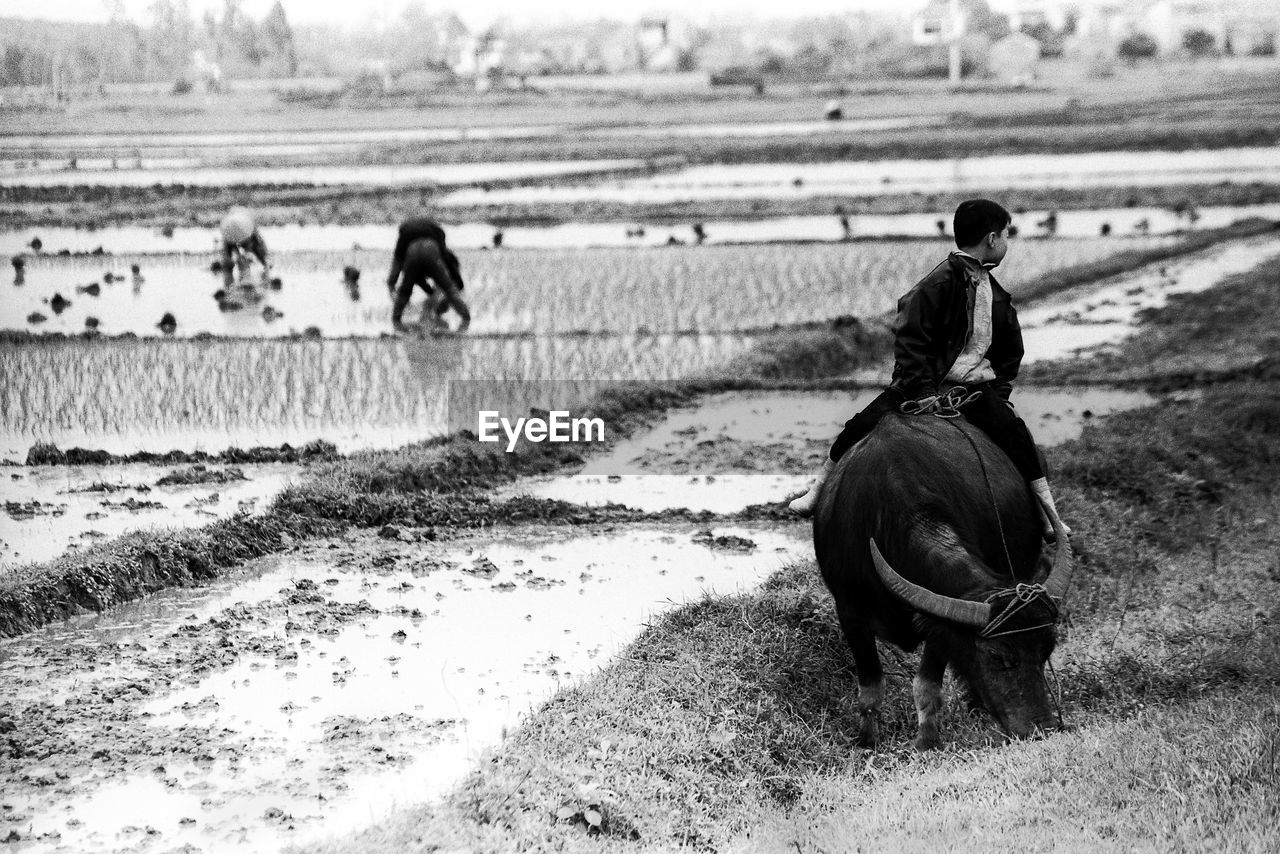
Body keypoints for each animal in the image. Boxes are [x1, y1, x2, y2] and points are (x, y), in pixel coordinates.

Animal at [814, 407, 1075, 747]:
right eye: (997, 655)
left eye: (1047, 651)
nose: (1042, 728)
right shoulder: (850, 611)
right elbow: (871, 687)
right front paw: (867, 741)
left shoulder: (940, 622)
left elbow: (926, 686)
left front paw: (927, 742)